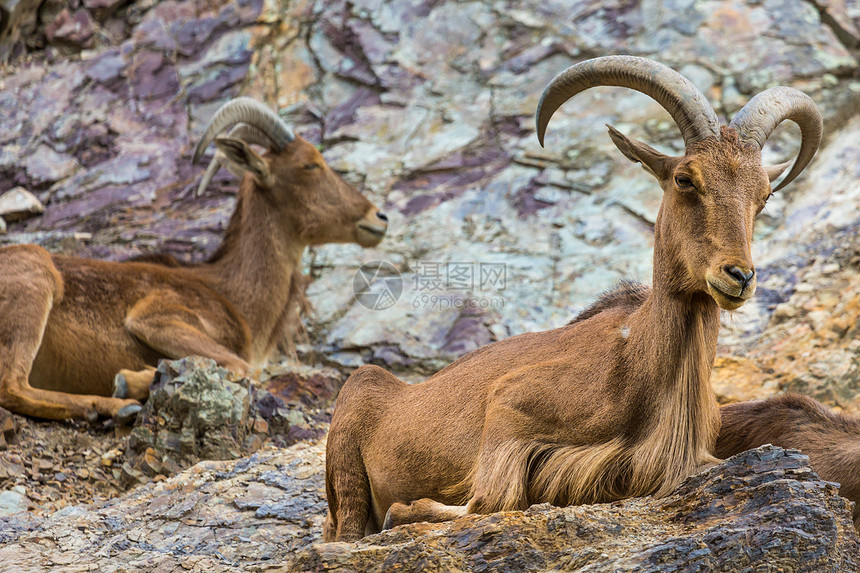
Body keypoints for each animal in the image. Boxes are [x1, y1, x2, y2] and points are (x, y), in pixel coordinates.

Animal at [0, 96, 386, 422]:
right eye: (310, 165)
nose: (378, 217)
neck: (231, 292)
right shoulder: (155, 317)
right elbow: (241, 367)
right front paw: (129, 381)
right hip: (34, 283)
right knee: (12, 386)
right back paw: (111, 406)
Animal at [320, 54, 820, 540]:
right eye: (684, 179)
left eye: (764, 195)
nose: (739, 276)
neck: (638, 362)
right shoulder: (507, 408)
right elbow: (490, 500)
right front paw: (406, 511)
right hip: (353, 431)